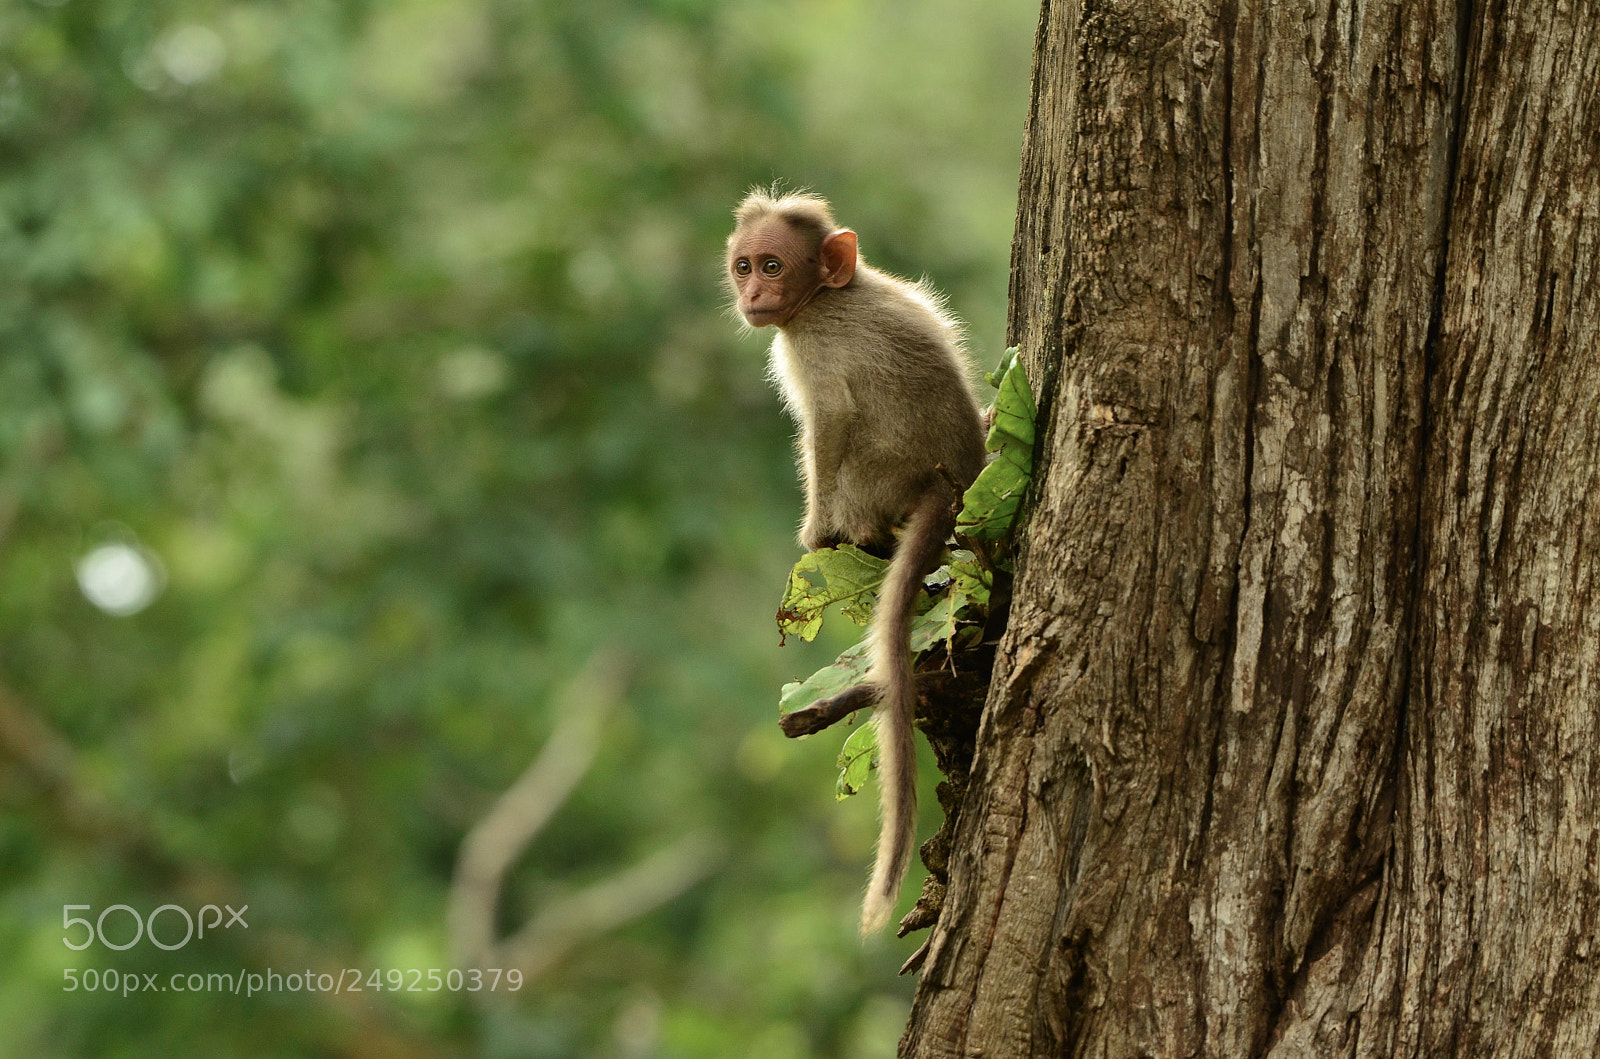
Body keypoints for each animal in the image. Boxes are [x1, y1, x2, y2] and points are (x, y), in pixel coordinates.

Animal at [726, 189, 986, 935]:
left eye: (773, 265)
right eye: (745, 264)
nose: (752, 292)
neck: (824, 295)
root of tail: (949, 484)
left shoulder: (812, 345)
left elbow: (830, 422)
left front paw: (815, 532)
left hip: (875, 480)